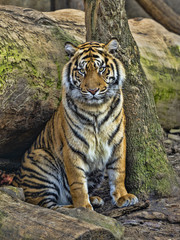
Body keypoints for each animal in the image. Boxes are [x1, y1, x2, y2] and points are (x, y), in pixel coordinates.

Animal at [12, 39, 138, 210]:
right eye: (81, 71)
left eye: (102, 69)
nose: (93, 90)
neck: (97, 108)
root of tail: (15, 180)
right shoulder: (72, 148)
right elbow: (77, 182)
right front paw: (83, 207)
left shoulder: (118, 140)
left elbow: (118, 171)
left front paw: (123, 197)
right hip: (42, 159)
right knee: (46, 205)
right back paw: (75, 207)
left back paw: (94, 199)